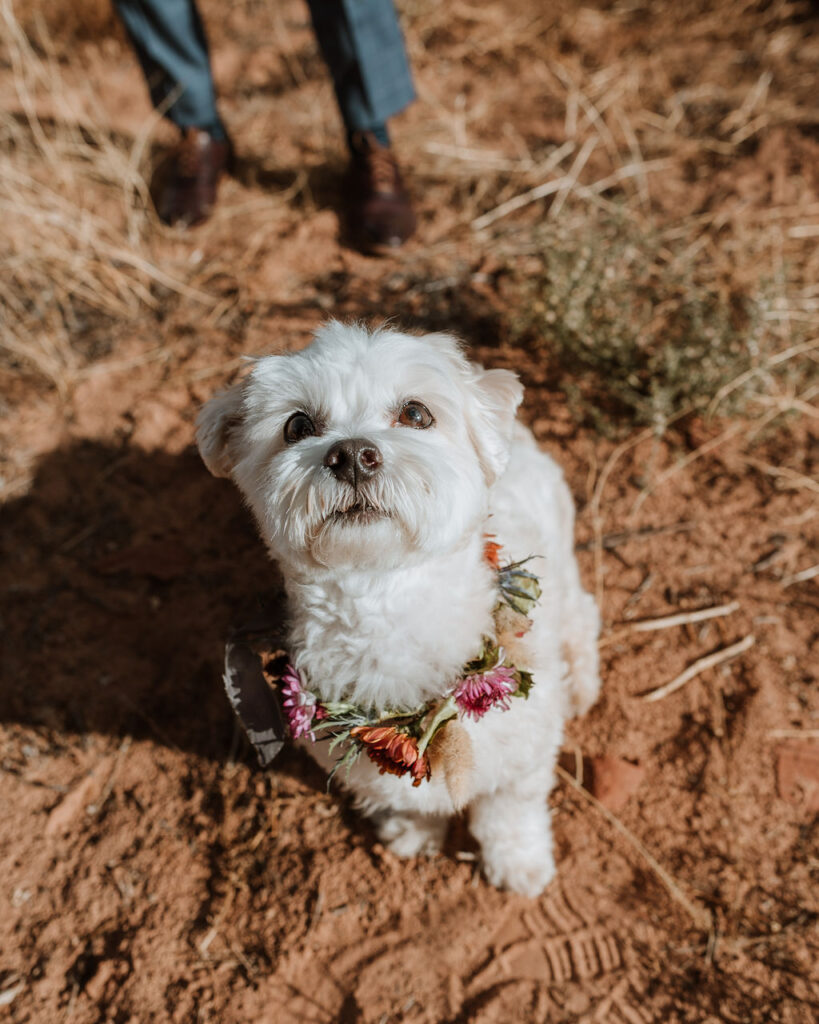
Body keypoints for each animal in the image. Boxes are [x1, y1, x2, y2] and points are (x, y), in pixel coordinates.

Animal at [195, 321, 597, 897]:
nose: (351, 454)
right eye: (297, 425)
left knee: (583, 616)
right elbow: (403, 800)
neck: (386, 602)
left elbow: (510, 812)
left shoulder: (525, 759)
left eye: (416, 413)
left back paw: (582, 684)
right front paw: (412, 832)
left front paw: (520, 864)